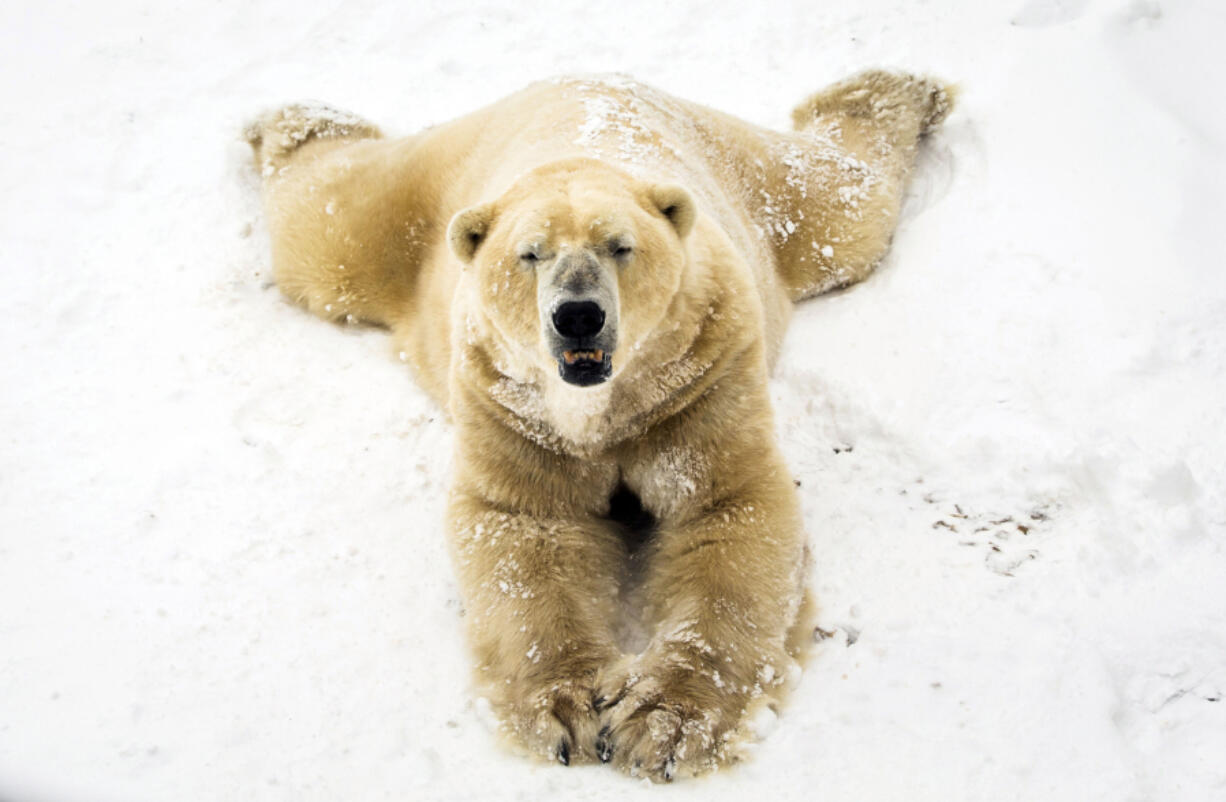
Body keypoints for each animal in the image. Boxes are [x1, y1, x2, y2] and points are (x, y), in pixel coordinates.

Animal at [243, 72, 951, 784]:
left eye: (621, 247)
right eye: (529, 254)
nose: (578, 315)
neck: (604, 406)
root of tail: (584, 78)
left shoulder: (700, 374)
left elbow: (726, 507)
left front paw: (663, 723)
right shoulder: (510, 403)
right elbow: (529, 526)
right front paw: (569, 711)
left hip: (750, 177)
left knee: (843, 201)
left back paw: (900, 90)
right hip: (421, 194)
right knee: (327, 226)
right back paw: (293, 118)